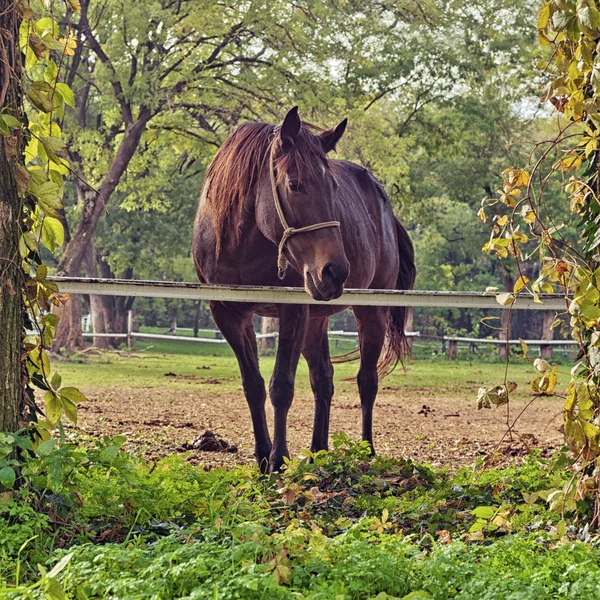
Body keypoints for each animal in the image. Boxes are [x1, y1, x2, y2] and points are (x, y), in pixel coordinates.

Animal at [195, 108, 414, 474]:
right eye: (294, 184)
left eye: (333, 186)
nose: (336, 271)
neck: (241, 241)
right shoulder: (229, 313)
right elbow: (254, 385)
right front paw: (262, 455)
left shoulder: (292, 311)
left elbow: (281, 386)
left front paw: (278, 459)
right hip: (316, 319)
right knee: (323, 380)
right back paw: (317, 451)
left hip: (370, 312)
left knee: (366, 380)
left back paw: (366, 450)